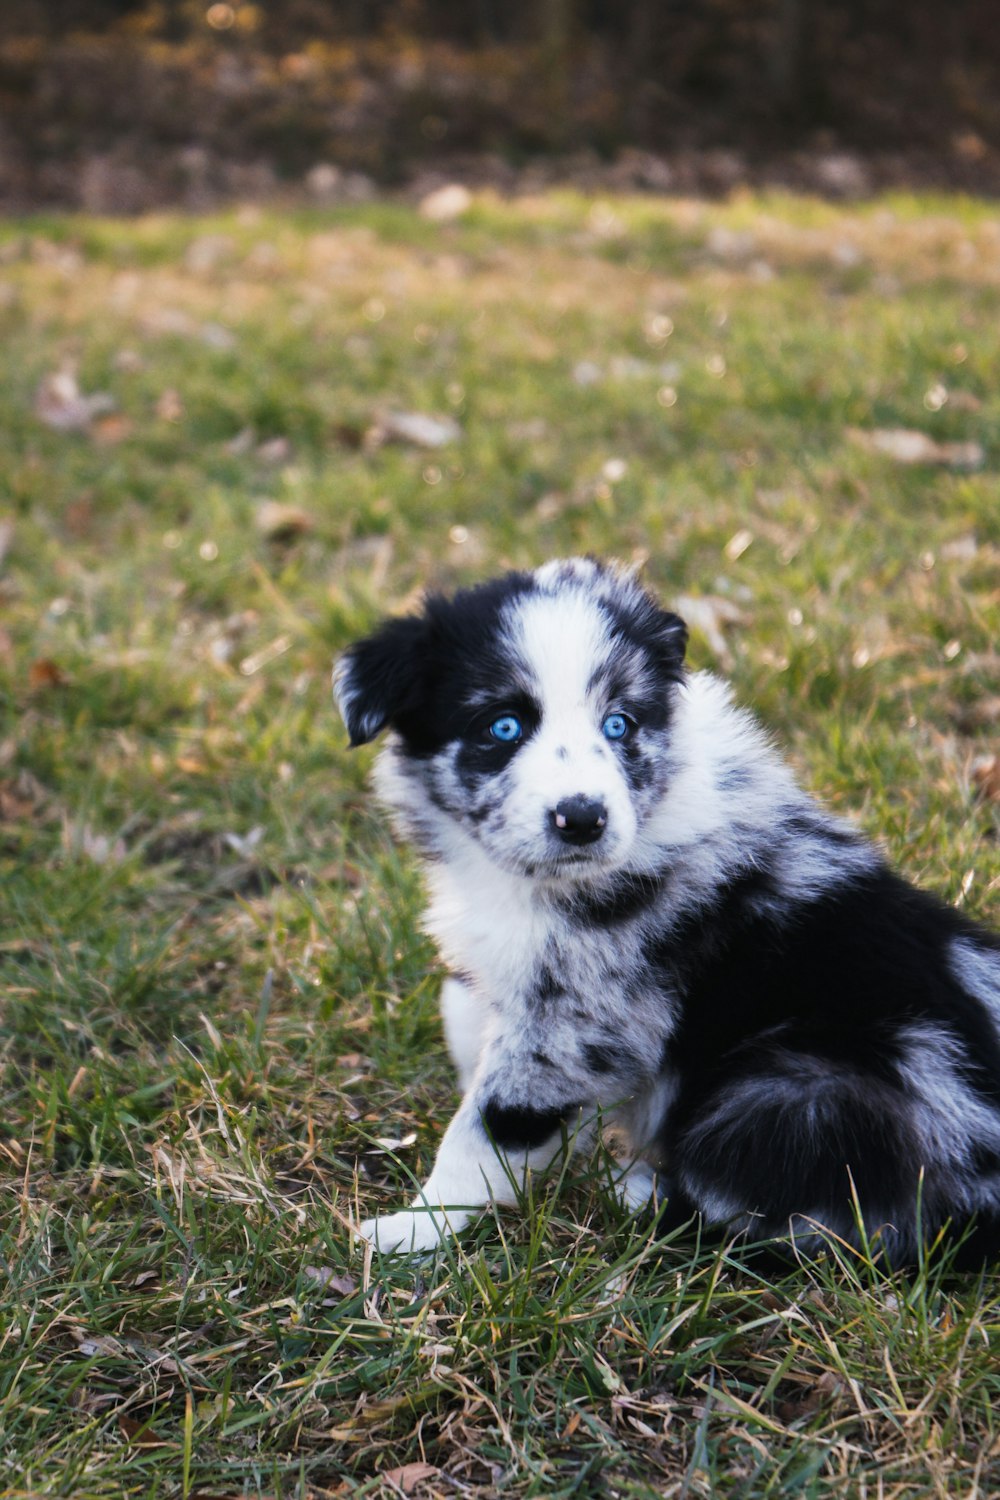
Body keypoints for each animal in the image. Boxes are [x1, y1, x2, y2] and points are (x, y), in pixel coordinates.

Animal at [334, 558, 1000, 1260]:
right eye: (503, 727)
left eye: (619, 724)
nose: (583, 819)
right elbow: (466, 1019)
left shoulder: (579, 1019)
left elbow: (490, 1125)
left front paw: (417, 1225)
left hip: (800, 1094)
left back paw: (643, 1194)